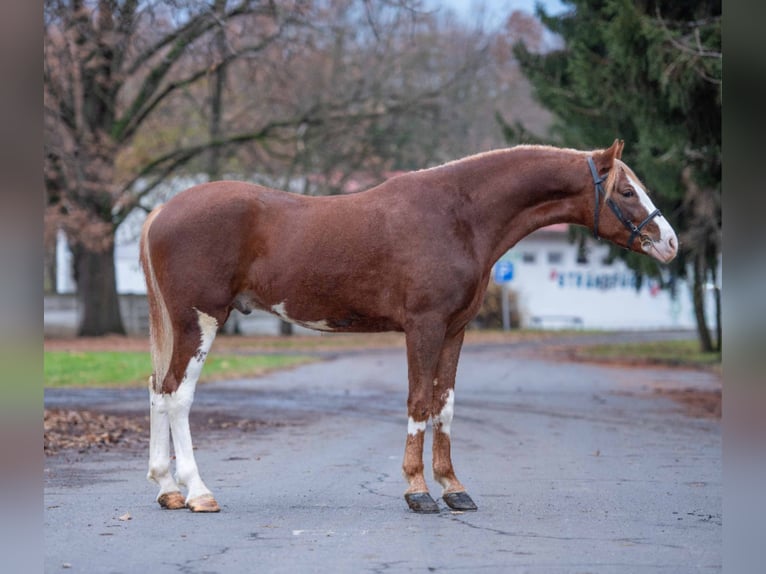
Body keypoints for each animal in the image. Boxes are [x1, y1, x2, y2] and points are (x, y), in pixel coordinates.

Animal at [139, 139, 678, 514]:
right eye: (626, 190)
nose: (670, 242)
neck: (458, 214)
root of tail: (162, 211)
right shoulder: (425, 326)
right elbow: (419, 402)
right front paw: (418, 492)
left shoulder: (456, 329)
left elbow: (445, 405)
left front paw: (454, 489)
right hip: (201, 320)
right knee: (178, 395)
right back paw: (198, 493)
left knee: (157, 389)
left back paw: (167, 489)